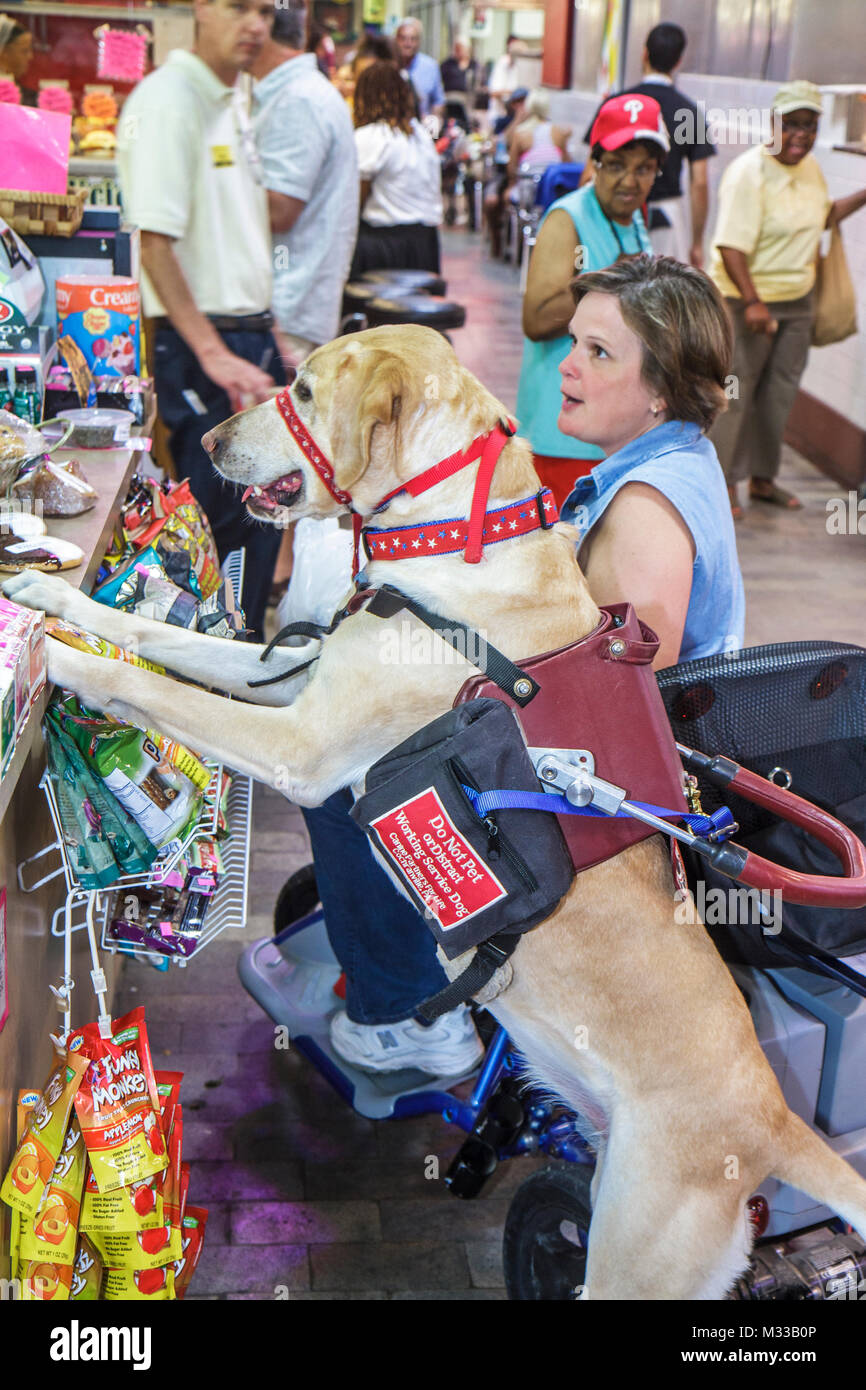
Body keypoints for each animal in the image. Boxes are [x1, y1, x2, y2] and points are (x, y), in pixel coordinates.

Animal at [6, 328, 866, 1301]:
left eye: (305, 388)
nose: (212, 441)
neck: (455, 539)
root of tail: (776, 1118)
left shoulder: (299, 745)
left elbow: (148, 684)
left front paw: (56, 663)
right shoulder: (290, 682)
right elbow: (167, 642)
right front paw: (57, 603)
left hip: (631, 1254)